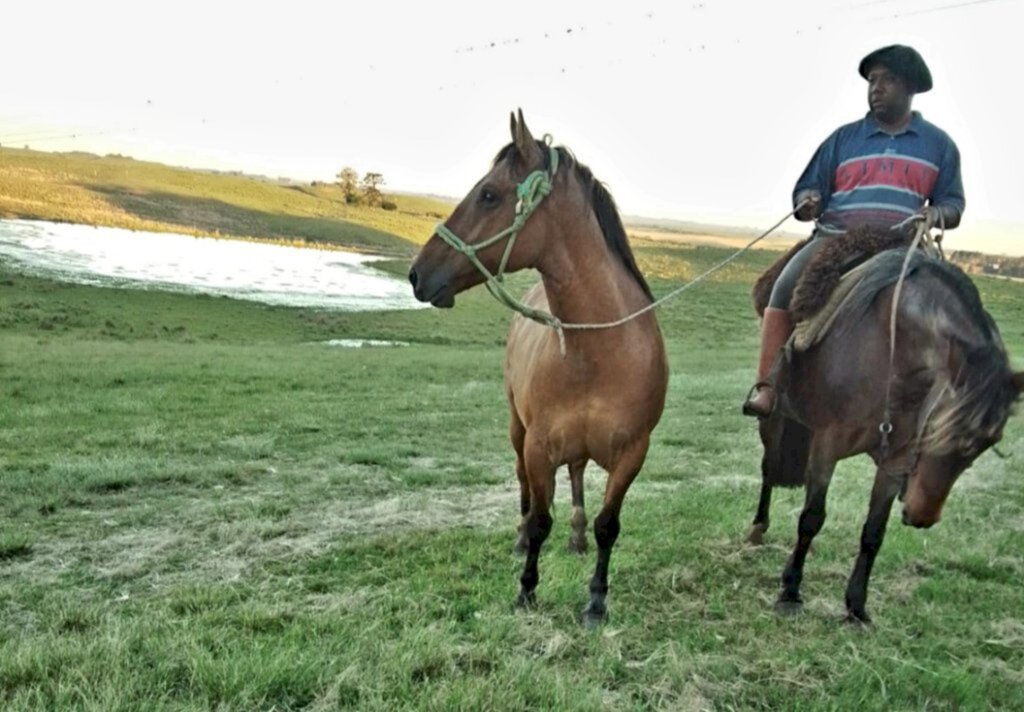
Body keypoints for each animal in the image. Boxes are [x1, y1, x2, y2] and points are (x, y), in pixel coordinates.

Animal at [407, 110, 671, 622]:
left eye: (489, 193)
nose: (416, 274)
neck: (598, 351)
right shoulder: (537, 446)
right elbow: (539, 521)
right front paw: (526, 589)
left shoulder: (633, 453)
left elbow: (609, 525)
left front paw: (596, 600)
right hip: (517, 429)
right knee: (526, 490)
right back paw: (520, 537)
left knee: (577, 476)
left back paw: (577, 534)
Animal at [749, 248, 1019, 622]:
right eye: (939, 428)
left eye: (987, 443)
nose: (922, 516)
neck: (893, 353)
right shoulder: (827, 444)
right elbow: (812, 518)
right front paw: (790, 592)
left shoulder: (895, 461)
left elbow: (874, 532)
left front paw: (856, 606)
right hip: (774, 421)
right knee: (768, 471)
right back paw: (757, 529)